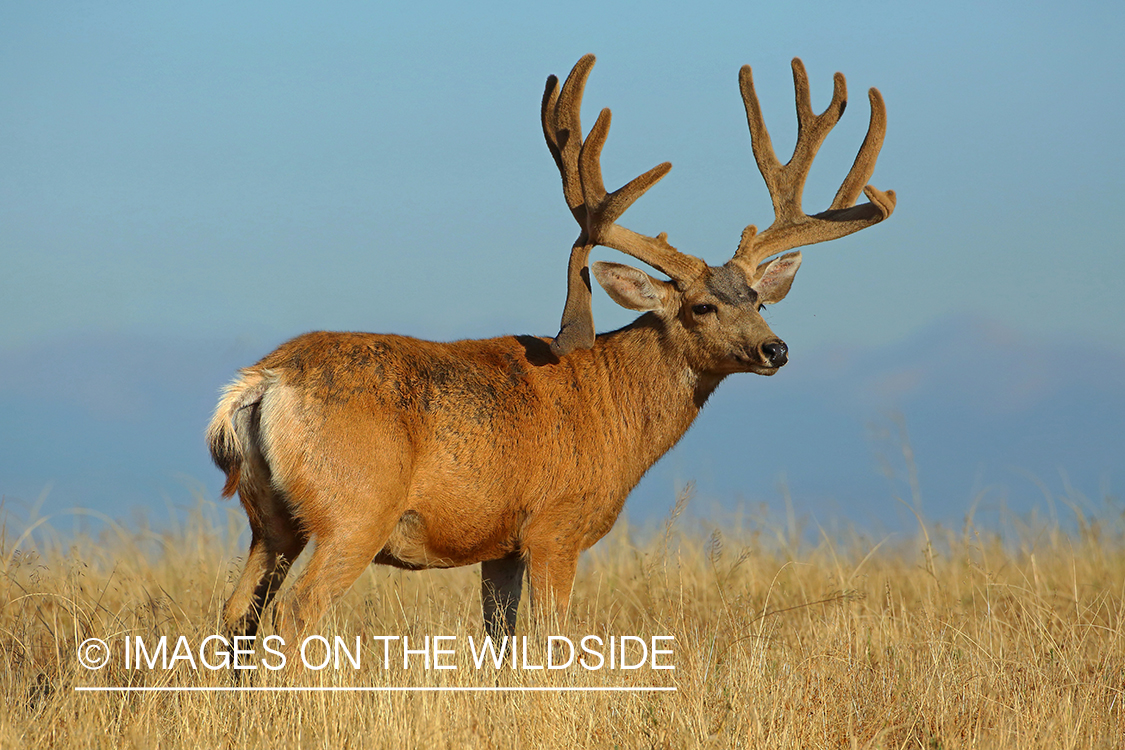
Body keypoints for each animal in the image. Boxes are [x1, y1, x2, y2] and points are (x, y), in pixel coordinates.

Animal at [207, 54, 895, 646]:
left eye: (758, 299)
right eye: (701, 306)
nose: (775, 349)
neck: (613, 406)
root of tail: (264, 381)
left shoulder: (501, 545)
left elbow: (498, 640)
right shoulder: (554, 526)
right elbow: (551, 638)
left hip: (269, 518)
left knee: (238, 611)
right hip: (352, 510)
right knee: (297, 611)